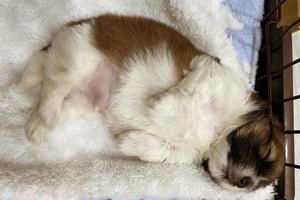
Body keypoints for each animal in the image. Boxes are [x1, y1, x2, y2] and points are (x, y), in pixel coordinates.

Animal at [20, 14, 284, 192]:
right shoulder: (212, 73)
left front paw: (130, 142)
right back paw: (42, 119)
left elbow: (162, 150)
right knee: (54, 84)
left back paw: (40, 120)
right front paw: (162, 104)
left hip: (86, 101)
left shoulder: (184, 153)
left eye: (256, 186)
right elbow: (192, 88)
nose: (244, 182)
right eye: (266, 152)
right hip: (81, 59)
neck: (216, 132)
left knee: (53, 90)